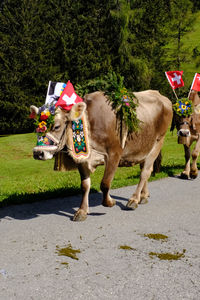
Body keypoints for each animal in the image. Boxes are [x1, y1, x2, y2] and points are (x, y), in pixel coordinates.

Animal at [30, 90, 173, 221]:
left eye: (56, 126)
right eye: (36, 127)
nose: (38, 153)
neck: (89, 123)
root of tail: (160, 95)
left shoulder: (114, 153)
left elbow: (105, 183)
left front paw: (109, 202)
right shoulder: (83, 160)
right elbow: (85, 186)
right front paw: (82, 211)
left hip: (158, 142)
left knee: (145, 172)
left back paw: (134, 199)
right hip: (144, 147)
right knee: (145, 169)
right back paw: (143, 196)